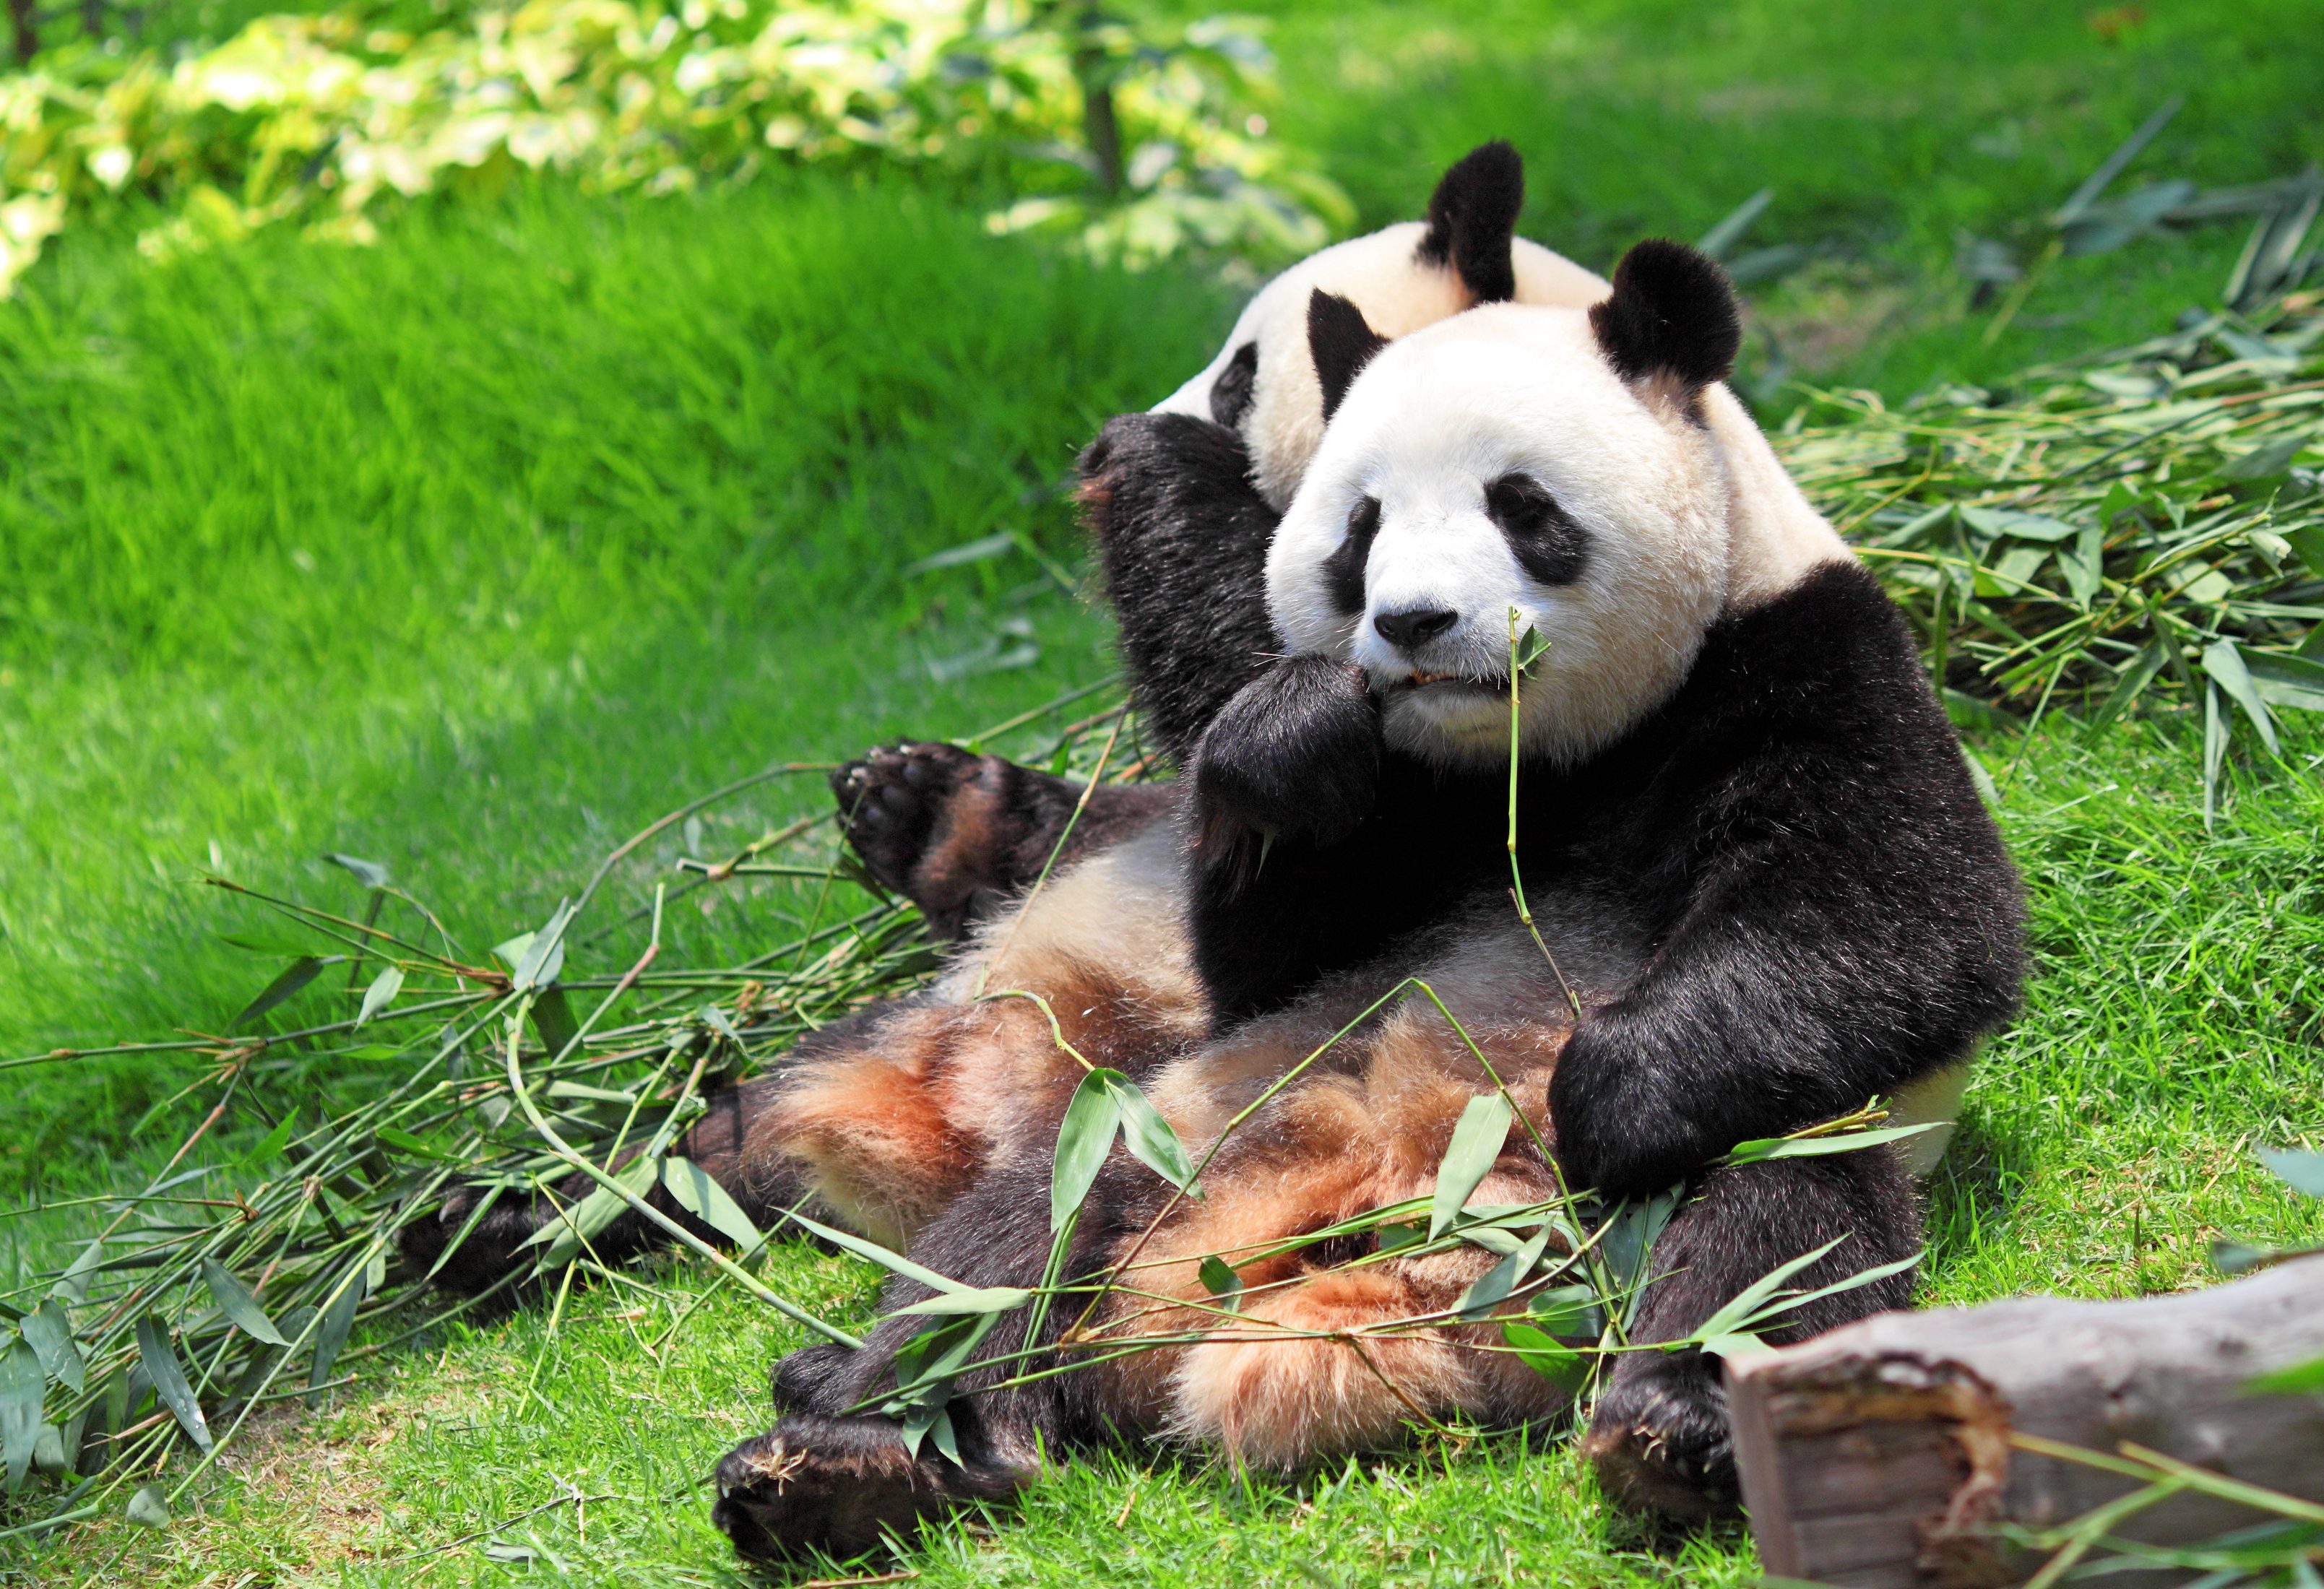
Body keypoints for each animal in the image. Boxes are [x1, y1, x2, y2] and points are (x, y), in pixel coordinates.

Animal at [403, 235, 2026, 1555]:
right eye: (1359, 530)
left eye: (1521, 507)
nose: (1412, 625)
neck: (1526, 765)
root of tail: (1316, 1293)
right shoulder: (1389, 827)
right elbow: (1264, 921)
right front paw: (1285, 734)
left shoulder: (1794, 657)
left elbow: (1898, 930)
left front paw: (1606, 1084)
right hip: (1166, 1126)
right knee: (969, 1250)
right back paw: (826, 1435)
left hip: (1737, 1170)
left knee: (1776, 1230)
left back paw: (1674, 1433)